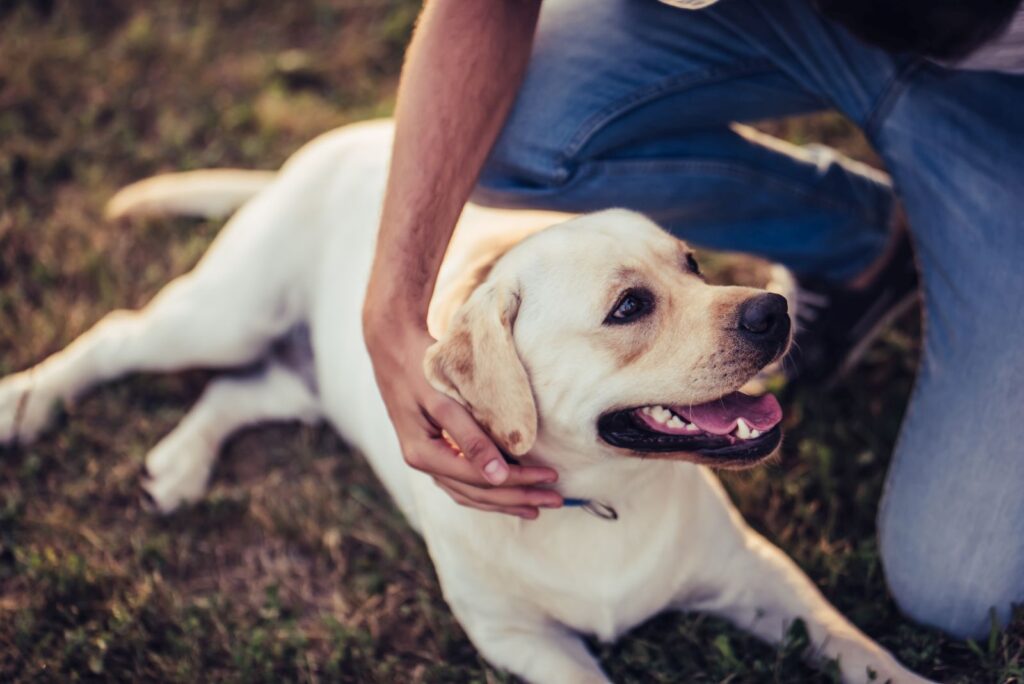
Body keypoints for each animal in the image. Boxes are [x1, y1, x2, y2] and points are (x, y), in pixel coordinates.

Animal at [0, 120, 929, 679]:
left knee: (241, 390)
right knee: (121, 333)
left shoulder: (759, 574)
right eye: (630, 306)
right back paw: (25, 402)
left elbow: (855, 646)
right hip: (223, 315)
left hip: (304, 377)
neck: (601, 503)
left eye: (693, 263)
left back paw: (181, 463)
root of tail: (350, 135)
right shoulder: (520, 640)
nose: (773, 312)